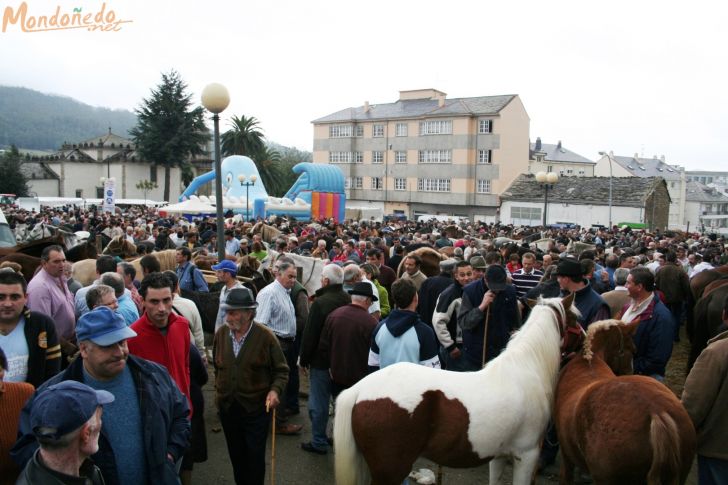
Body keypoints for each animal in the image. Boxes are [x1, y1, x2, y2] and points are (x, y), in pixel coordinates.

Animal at [332, 294, 584, 482]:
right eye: (573, 318)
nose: (584, 339)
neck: (525, 369)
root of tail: (359, 390)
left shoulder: (498, 455)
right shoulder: (526, 455)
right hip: (391, 471)